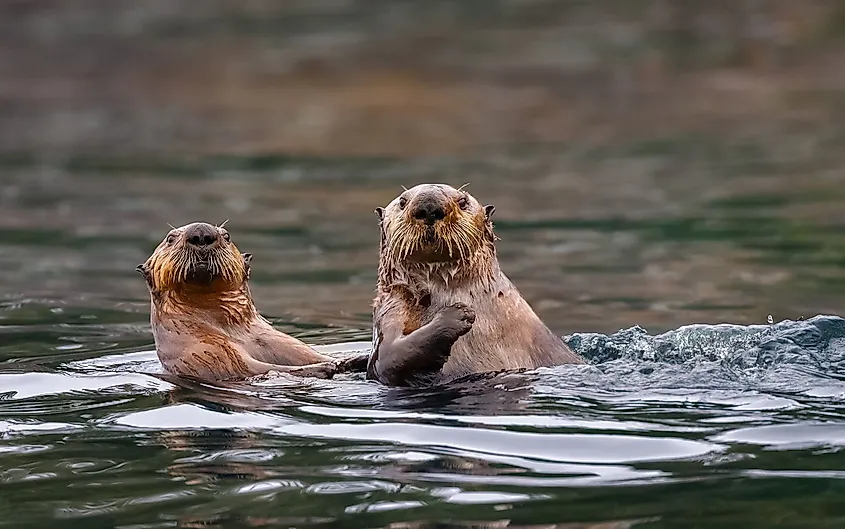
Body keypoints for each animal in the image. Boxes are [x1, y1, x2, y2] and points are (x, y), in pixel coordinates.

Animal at [136, 221, 367, 382]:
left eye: (227, 236)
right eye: (170, 238)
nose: (201, 233)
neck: (233, 333)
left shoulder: (280, 341)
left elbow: (312, 355)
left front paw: (353, 360)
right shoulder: (203, 353)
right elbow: (249, 368)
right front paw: (324, 369)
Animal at [367, 184, 585, 387]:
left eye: (463, 201)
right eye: (402, 201)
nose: (429, 206)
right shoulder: (391, 309)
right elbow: (389, 358)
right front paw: (458, 314)